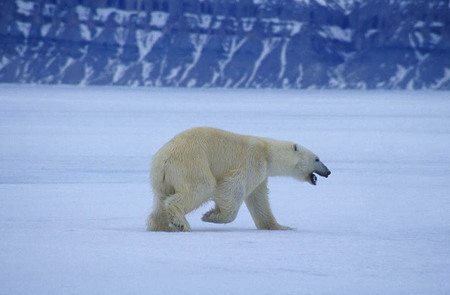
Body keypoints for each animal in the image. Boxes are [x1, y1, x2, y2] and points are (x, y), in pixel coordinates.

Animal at [148, 126, 330, 232]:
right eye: (317, 159)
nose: (328, 172)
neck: (268, 151)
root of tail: (163, 159)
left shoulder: (262, 175)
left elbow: (259, 199)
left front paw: (281, 226)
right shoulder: (253, 160)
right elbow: (232, 186)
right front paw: (212, 215)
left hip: (161, 178)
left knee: (160, 199)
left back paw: (160, 225)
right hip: (191, 162)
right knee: (203, 186)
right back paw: (180, 222)